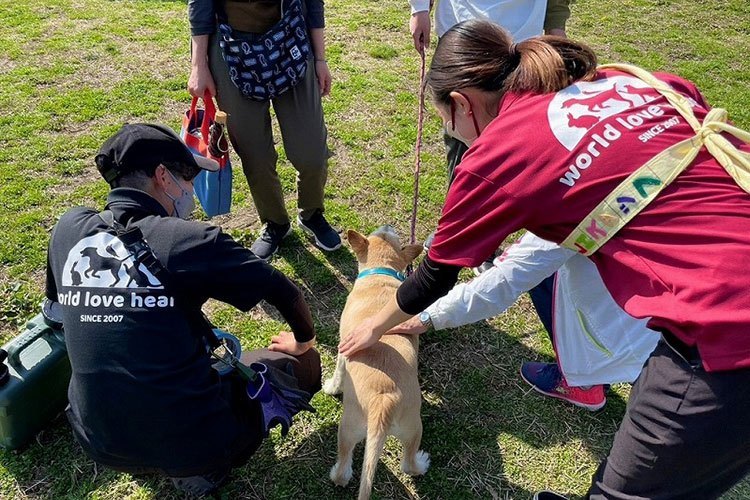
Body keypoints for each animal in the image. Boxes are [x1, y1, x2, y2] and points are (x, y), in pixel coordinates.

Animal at [326, 228, 432, 500]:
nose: (387, 225)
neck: (381, 271)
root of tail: (383, 402)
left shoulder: (342, 349)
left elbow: (338, 373)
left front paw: (330, 387)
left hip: (349, 427)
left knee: (346, 468)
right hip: (409, 428)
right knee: (407, 463)